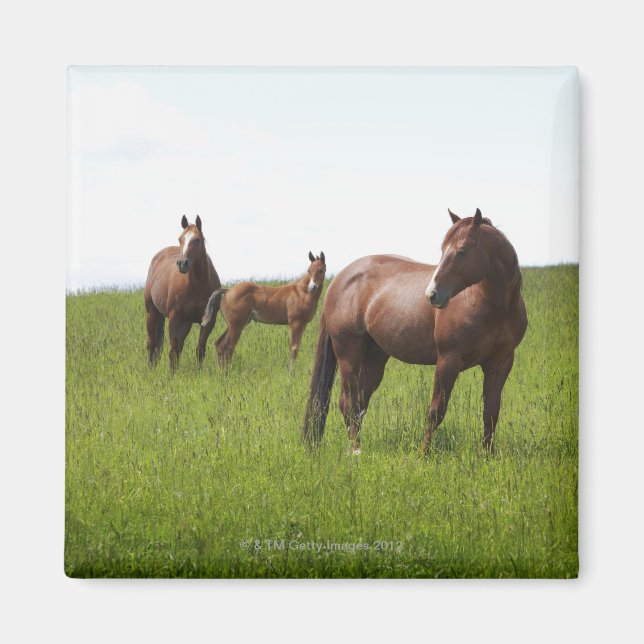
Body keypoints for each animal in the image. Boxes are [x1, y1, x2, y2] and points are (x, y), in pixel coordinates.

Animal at [144, 215, 221, 371]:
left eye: (197, 239)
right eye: (180, 239)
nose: (182, 263)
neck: (198, 284)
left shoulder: (209, 321)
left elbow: (200, 349)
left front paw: (198, 372)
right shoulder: (175, 318)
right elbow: (172, 350)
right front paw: (171, 375)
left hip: (186, 323)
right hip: (152, 313)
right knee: (152, 344)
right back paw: (150, 370)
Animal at [302, 209, 527, 454]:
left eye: (462, 251)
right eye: (442, 249)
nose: (432, 294)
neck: (491, 305)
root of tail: (338, 280)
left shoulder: (500, 363)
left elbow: (491, 412)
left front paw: (487, 455)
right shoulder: (448, 361)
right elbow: (436, 411)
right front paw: (423, 454)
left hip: (374, 357)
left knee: (360, 403)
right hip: (348, 354)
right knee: (349, 404)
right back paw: (356, 451)